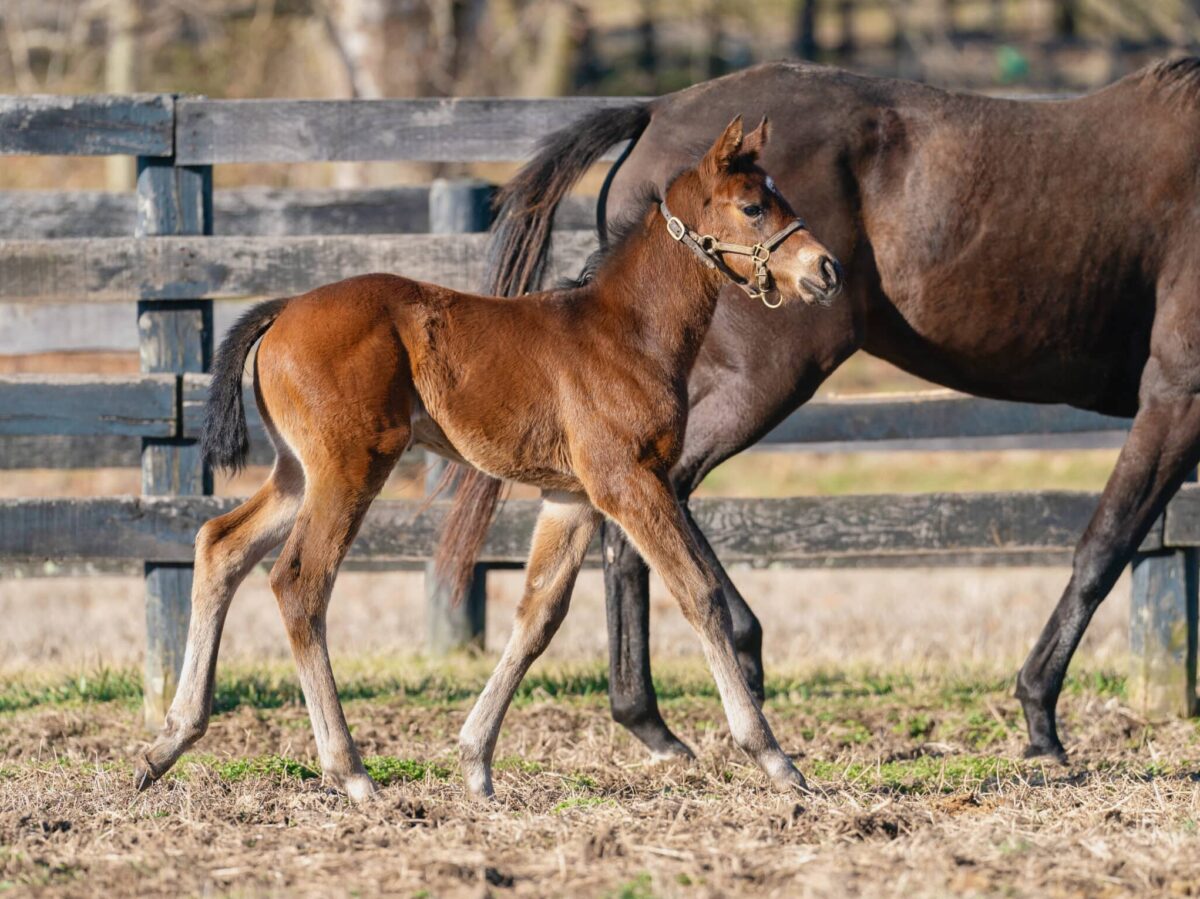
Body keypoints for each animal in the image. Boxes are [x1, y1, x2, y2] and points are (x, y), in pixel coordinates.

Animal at [133, 119, 844, 801]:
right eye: (753, 207)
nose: (827, 269)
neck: (627, 332)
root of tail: (283, 311)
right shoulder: (629, 481)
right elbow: (699, 593)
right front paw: (776, 761)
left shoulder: (572, 497)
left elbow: (538, 616)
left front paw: (476, 763)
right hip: (351, 465)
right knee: (300, 583)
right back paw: (351, 773)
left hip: (296, 471)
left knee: (220, 544)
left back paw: (167, 744)